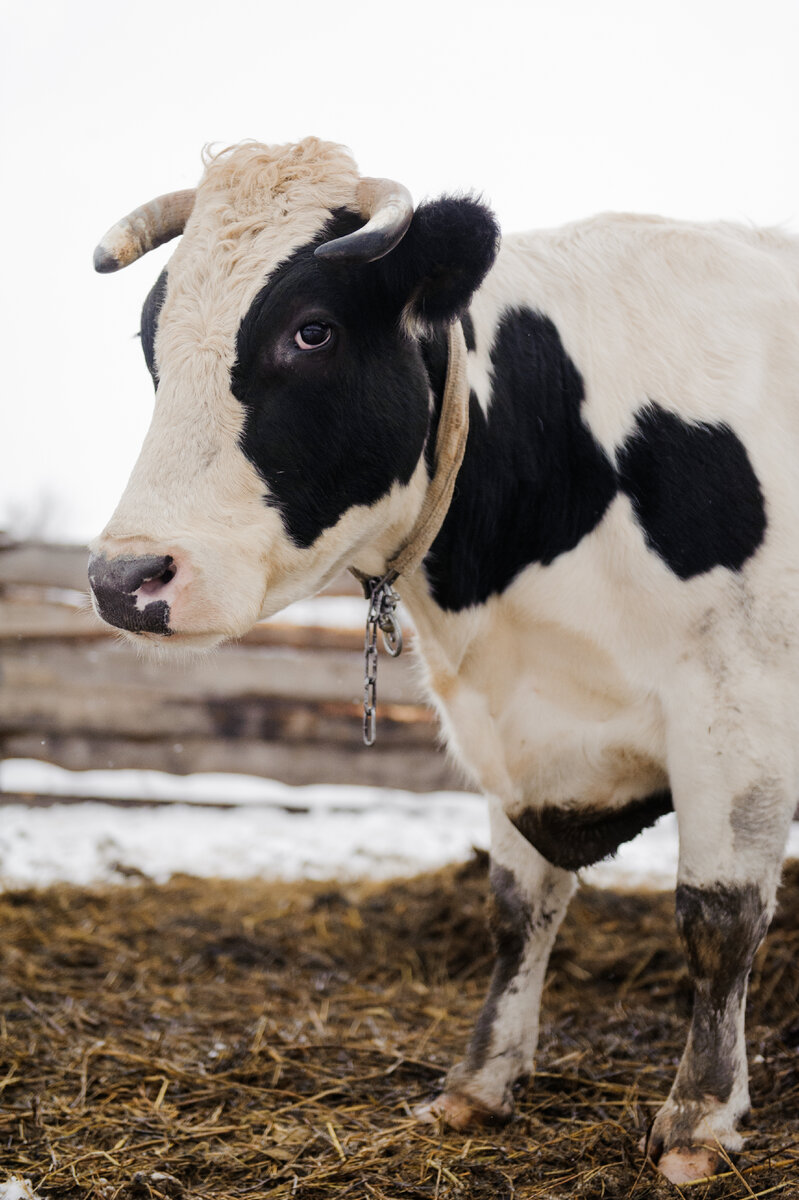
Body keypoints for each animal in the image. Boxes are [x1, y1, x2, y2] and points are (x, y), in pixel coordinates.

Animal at [86, 138, 796, 1180]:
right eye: (151, 339)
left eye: (311, 331)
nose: (122, 576)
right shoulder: (508, 726)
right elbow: (515, 910)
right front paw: (478, 1083)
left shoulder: (736, 711)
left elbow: (717, 918)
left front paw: (699, 1118)